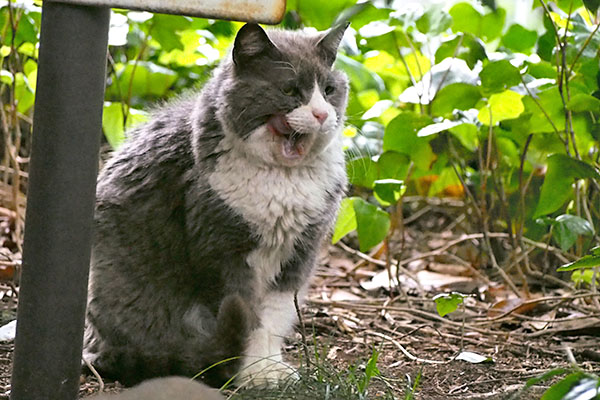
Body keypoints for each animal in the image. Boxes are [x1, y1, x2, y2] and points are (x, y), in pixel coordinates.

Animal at [82, 22, 350, 388]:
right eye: (290, 90)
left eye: (329, 89)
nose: (322, 114)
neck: (282, 179)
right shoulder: (221, 254)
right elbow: (248, 318)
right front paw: (251, 374)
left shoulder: (299, 254)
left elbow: (273, 318)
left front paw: (270, 369)